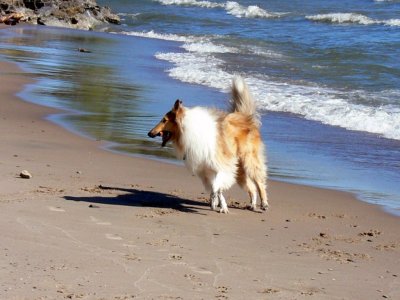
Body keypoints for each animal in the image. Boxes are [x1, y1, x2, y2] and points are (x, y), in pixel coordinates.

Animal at [148, 77, 268, 213]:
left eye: (164, 120)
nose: (149, 133)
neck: (187, 130)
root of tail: (245, 116)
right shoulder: (206, 169)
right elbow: (216, 188)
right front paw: (220, 205)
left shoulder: (222, 165)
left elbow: (217, 187)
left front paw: (217, 202)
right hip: (239, 169)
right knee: (252, 188)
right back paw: (252, 205)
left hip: (249, 161)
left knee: (259, 182)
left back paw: (264, 204)